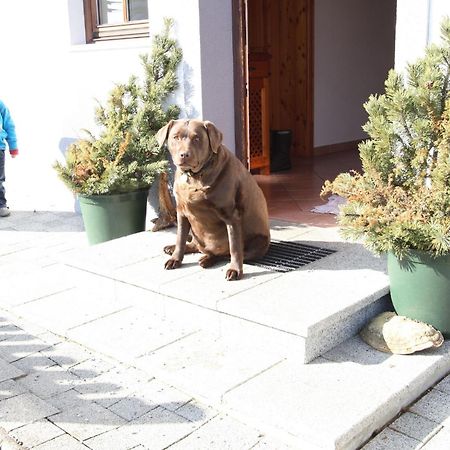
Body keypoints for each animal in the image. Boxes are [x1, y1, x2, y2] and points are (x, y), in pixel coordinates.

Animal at [157, 119, 270, 282]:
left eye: (197, 138)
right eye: (175, 137)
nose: (184, 154)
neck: (195, 177)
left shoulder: (232, 216)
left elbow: (235, 248)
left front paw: (235, 270)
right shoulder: (181, 212)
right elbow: (180, 238)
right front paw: (175, 259)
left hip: (258, 243)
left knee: (224, 253)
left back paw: (207, 259)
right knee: (194, 244)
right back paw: (173, 248)